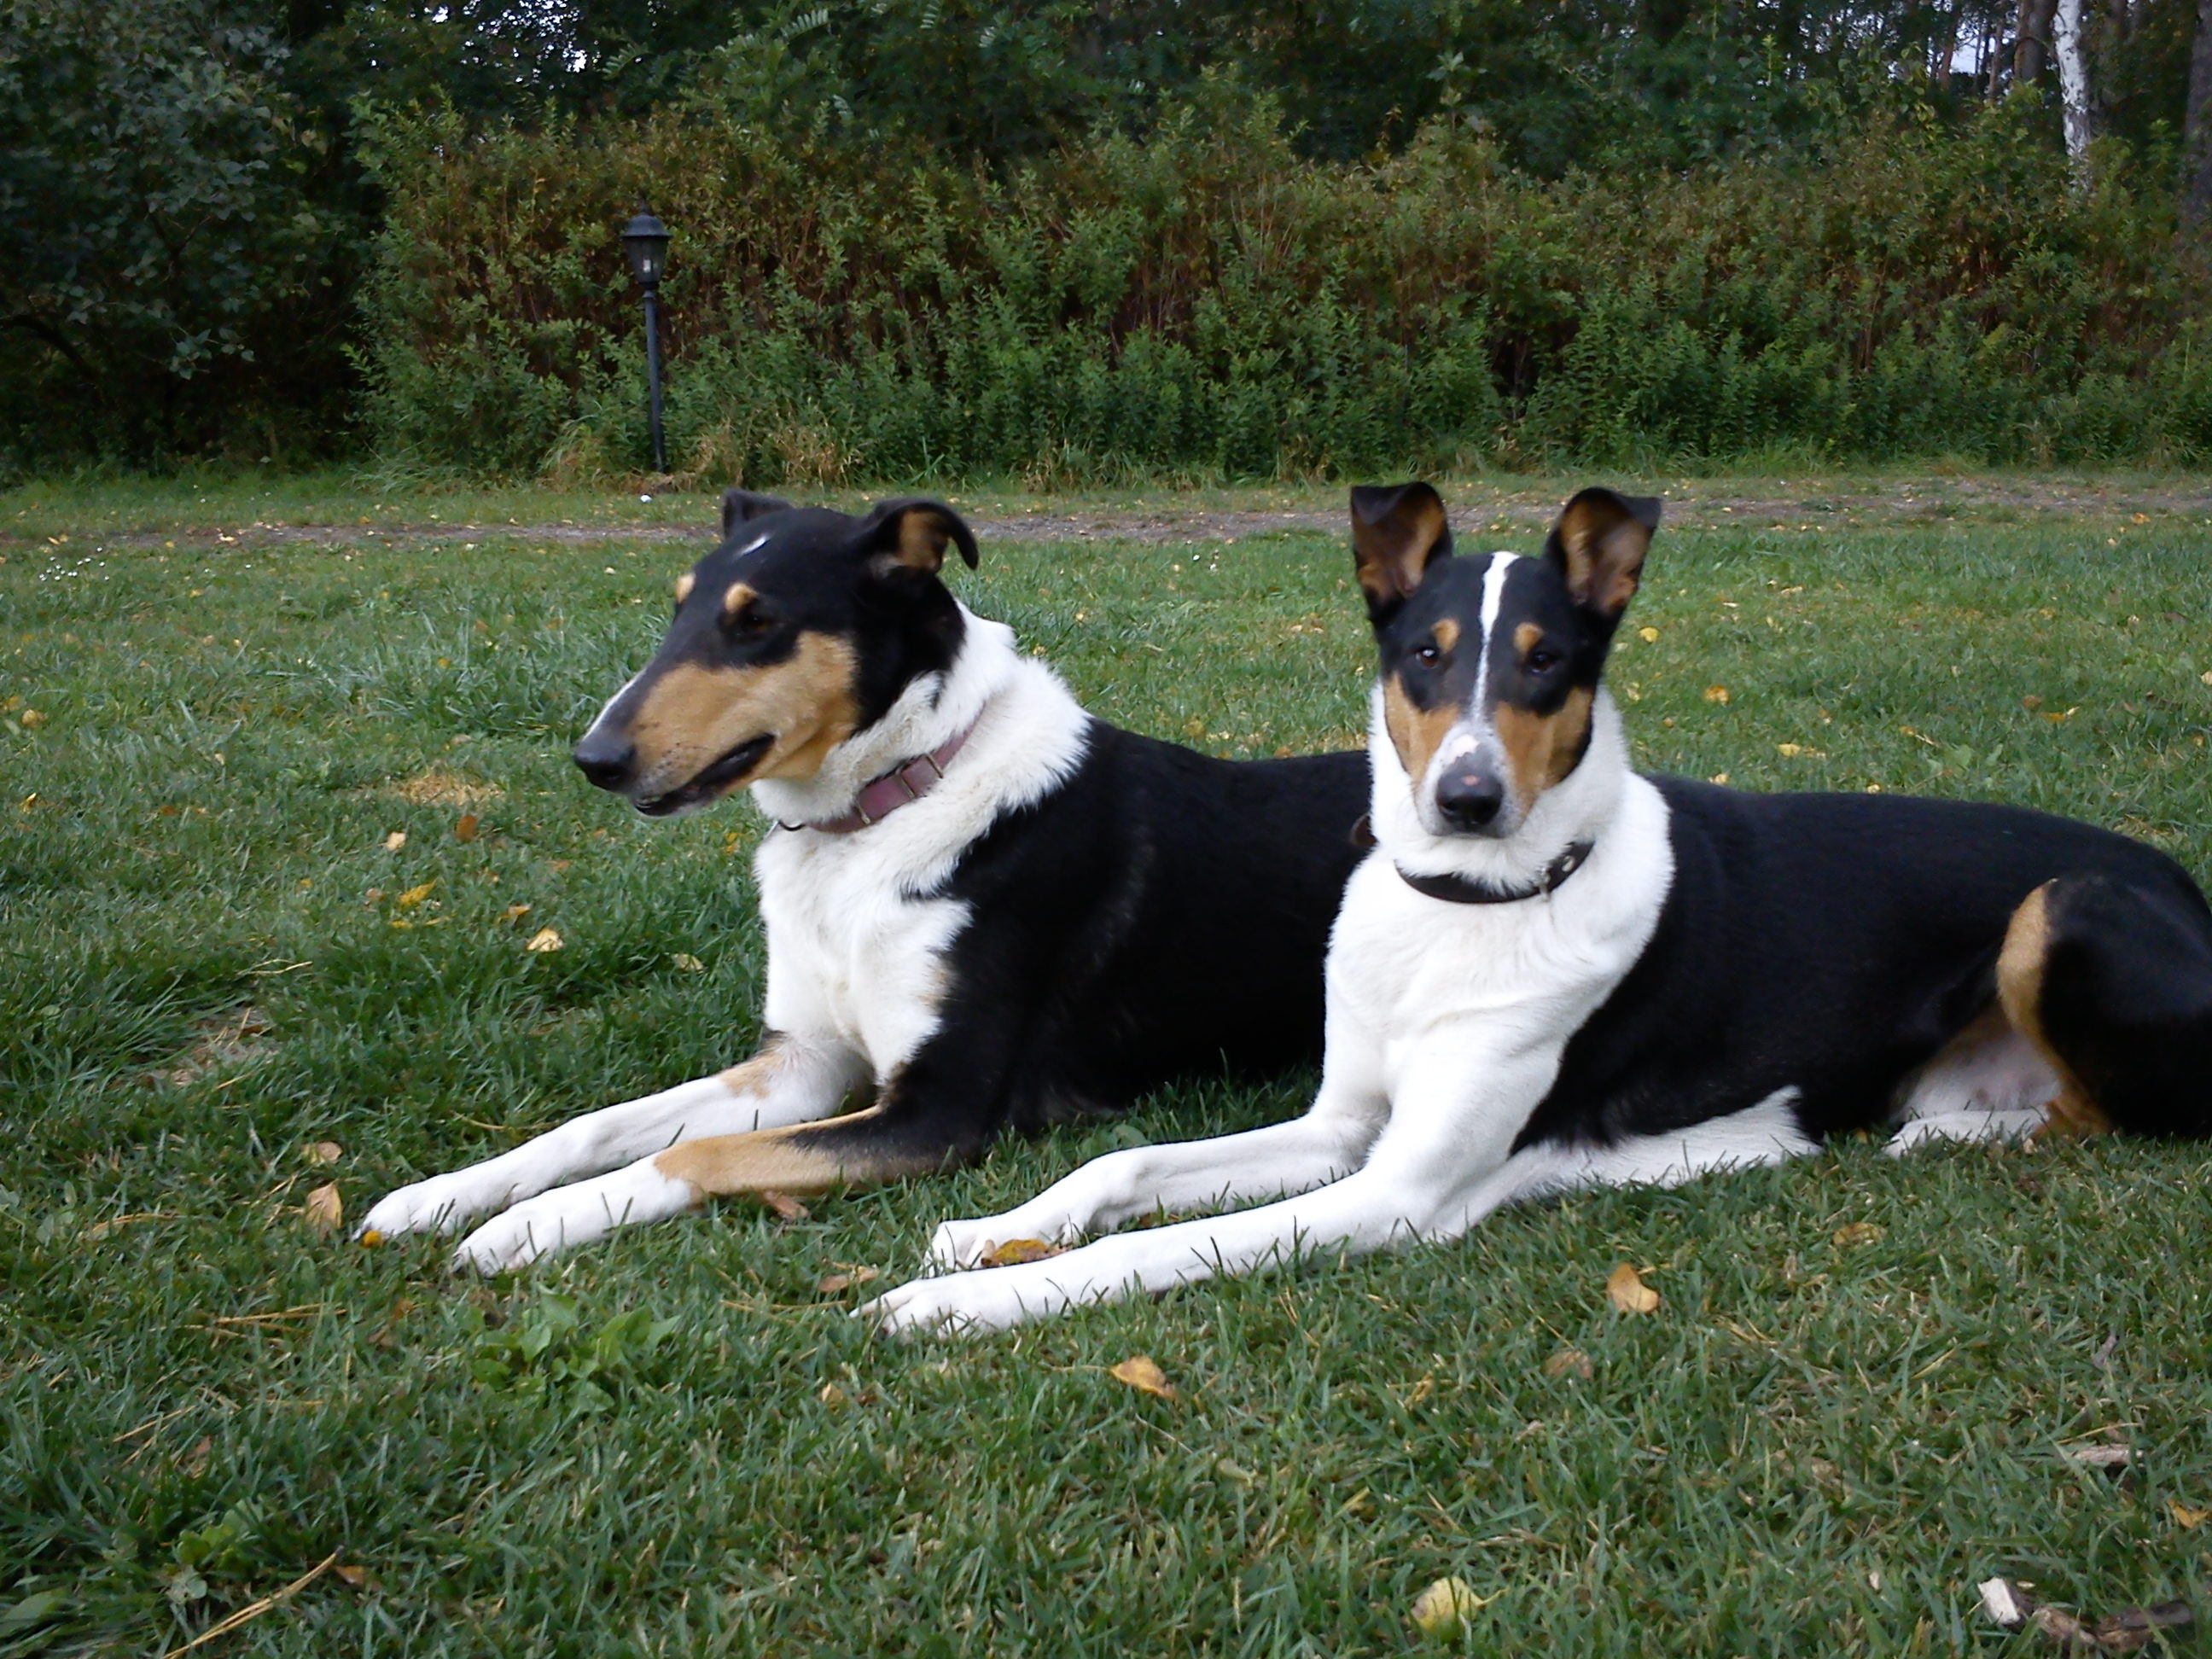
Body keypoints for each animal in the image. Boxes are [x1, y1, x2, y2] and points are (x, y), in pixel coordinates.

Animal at [360, 491, 1362, 1273]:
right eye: (678, 608)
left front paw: (527, 1227)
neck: (877, 819)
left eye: (757, 621)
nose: (594, 759)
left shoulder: (935, 1111)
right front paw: (445, 1196)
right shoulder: (802, 1062)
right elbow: (598, 1126)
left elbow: (698, 1158)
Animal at [862, 484, 2212, 1336]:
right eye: (1424, 655)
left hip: (2062, 907)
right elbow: (1127, 1163)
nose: (1466, 800)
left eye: (1547, 662)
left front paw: (958, 1307)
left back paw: (1950, 1135)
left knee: (2105, 1112)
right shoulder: (1341, 1126)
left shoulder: (1397, 1193)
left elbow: (1148, 1246)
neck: (1464, 909)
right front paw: (991, 1232)